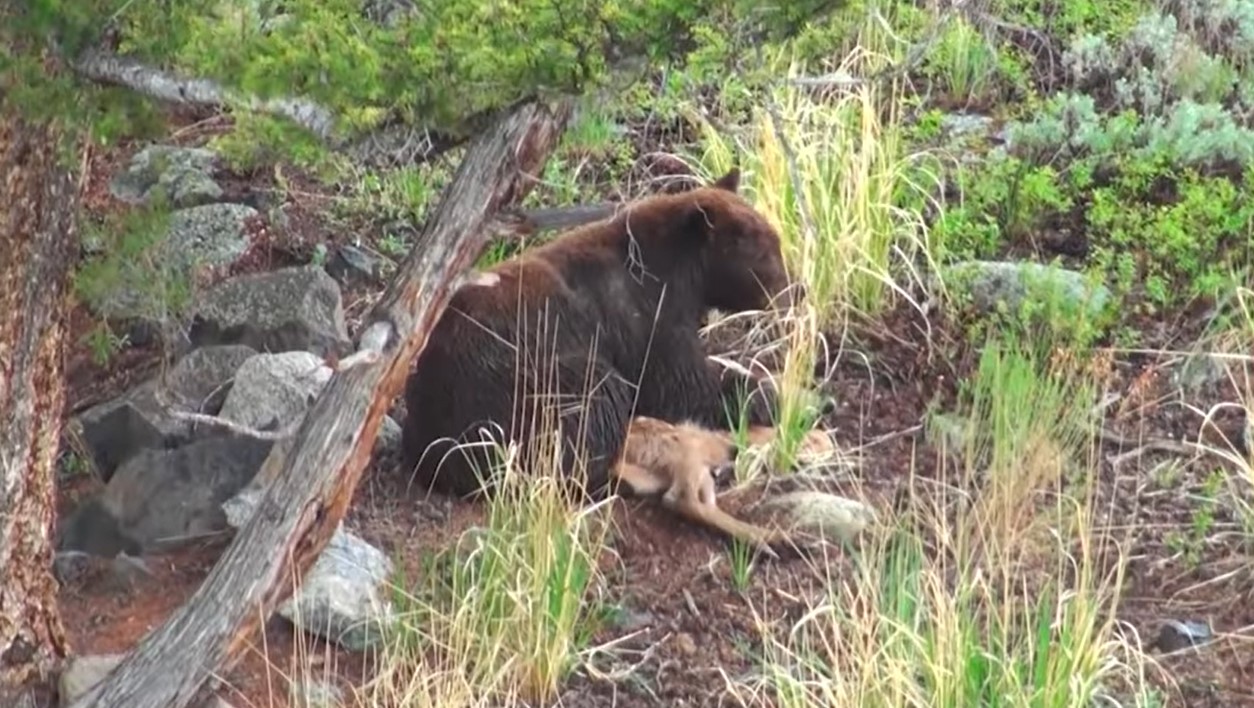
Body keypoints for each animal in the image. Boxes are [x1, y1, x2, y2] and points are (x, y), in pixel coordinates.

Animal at [401, 166, 792, 496]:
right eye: (766, 253)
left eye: (776, 241)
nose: (795, 288)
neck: (686, 276)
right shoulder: (643, 315)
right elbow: (682, 382)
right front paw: (765, 396)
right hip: (520, 382)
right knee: (595, 397)